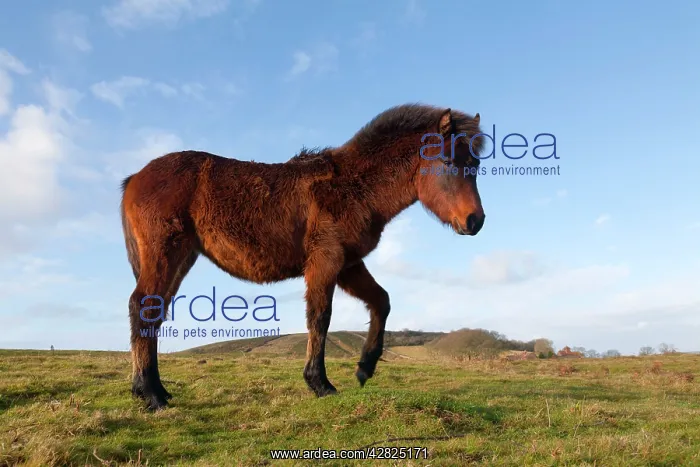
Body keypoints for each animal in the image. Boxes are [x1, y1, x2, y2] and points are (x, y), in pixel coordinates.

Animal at [120, 103, 486, 410]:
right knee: (143, 307)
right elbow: (320, 318)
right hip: (166, 255)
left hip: (181, 259)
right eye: (449, 162)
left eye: (476, 165)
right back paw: (151, 394)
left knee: (155, 312)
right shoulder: (325, 262)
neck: (354, 188)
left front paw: (365, 367)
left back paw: (153, 389)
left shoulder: (348, 265)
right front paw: (320, 383)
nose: (476, 221)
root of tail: (136, 178)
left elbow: (381, 301)